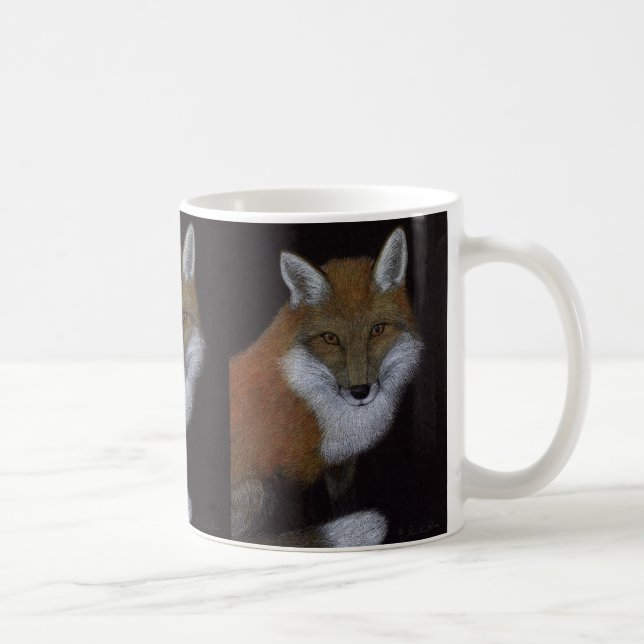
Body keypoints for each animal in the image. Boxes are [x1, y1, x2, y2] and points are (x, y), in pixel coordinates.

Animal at [230, 227, 424, 547]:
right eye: (331, 338)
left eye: (377, 330)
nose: (360, 391)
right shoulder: (284, 473)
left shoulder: (341, 462)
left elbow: (344, 505)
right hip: (257, 490)